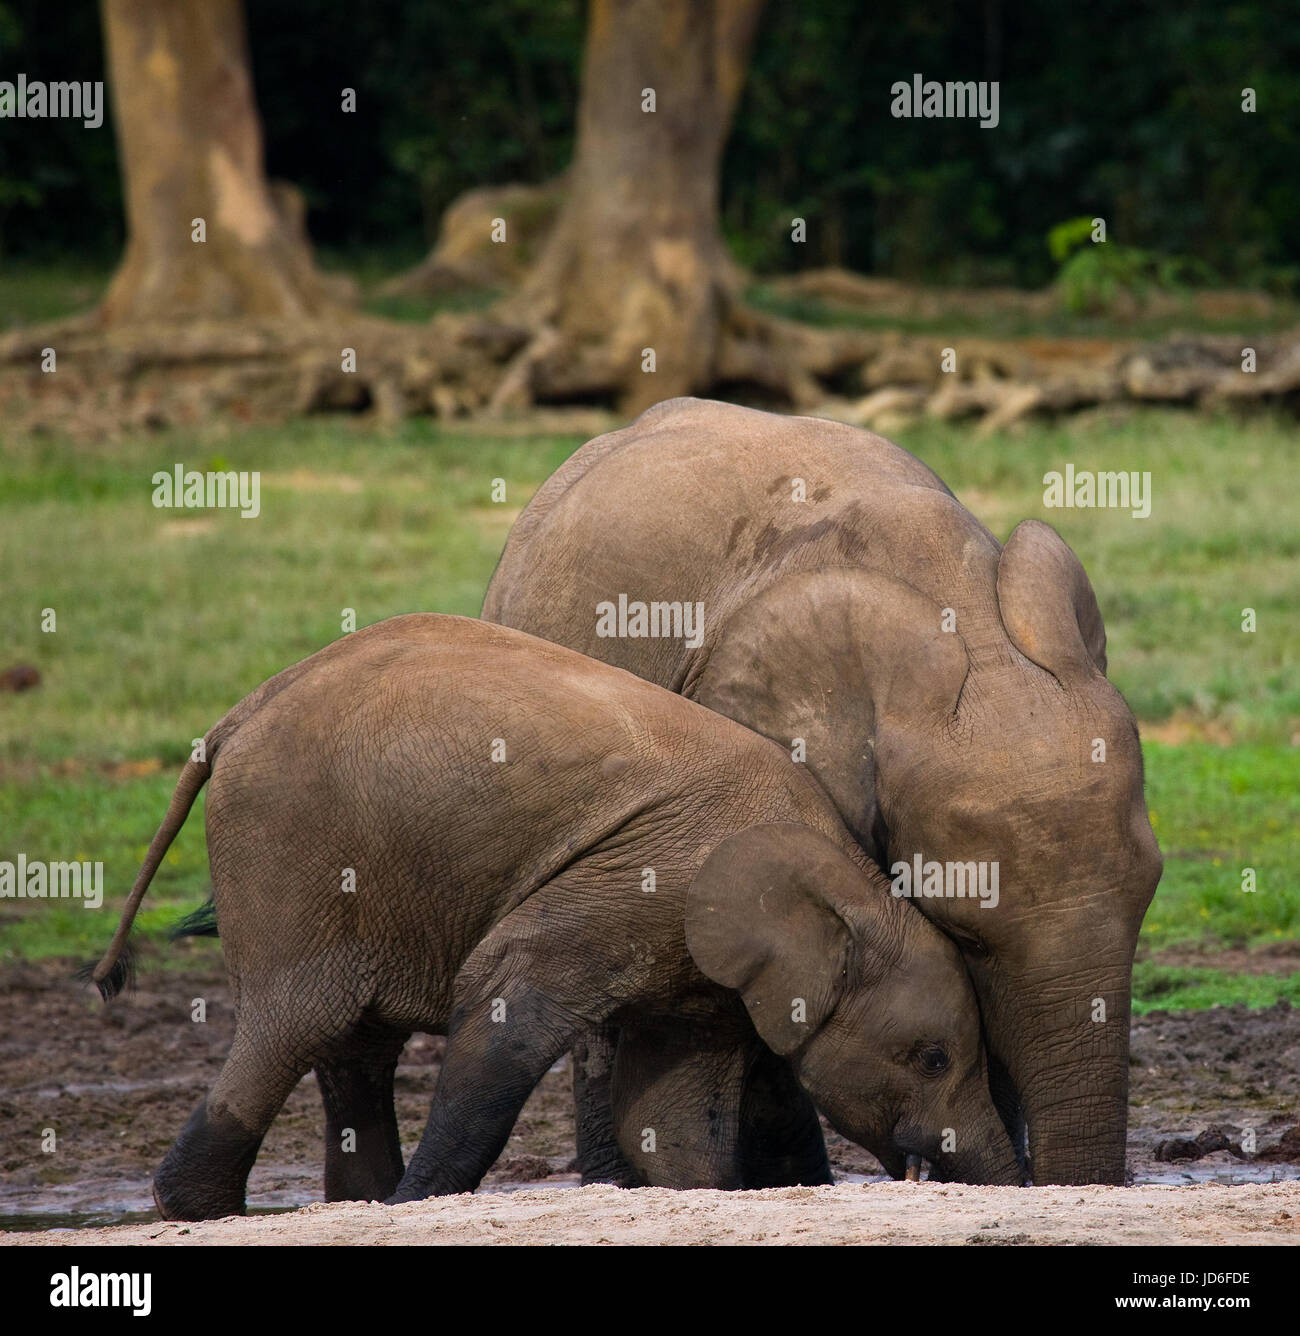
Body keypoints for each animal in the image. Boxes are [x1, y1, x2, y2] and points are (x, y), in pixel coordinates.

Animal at [93, 611, 1026, 1218]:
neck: (846, 881)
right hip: (291, 848)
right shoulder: (638, 882)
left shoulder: (701, 965)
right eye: (934, 1058)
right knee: (296, 1026)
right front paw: (419, 1207)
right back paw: (208, 1207)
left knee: (353, 1046)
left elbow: (670, 1120)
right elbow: (505, 1009)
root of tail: (234, 718)